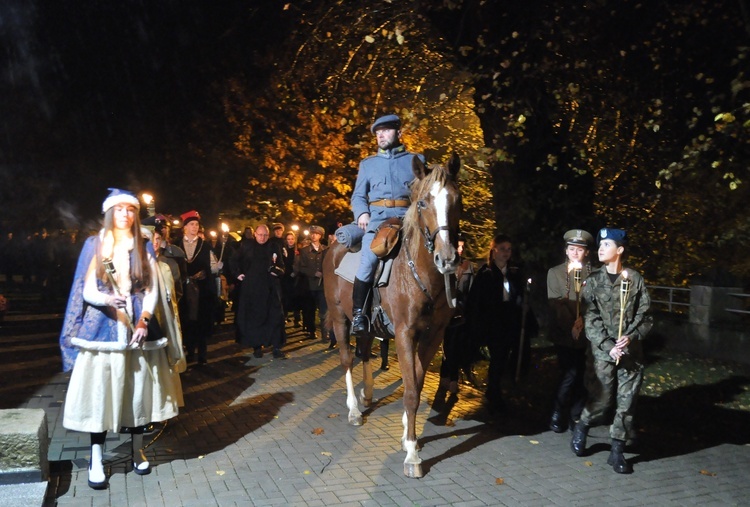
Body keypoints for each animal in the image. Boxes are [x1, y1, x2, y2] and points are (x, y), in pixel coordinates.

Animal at [324, 153, 464, 478]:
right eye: (423, 202)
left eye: (457, 200)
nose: (447, 258)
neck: (419, 275)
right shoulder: (404, 333)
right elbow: (411, 390)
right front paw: (412, 453)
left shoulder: (432, 336)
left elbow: (418, 380)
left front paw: (405, 432)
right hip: (340, 319)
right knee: (347, 359)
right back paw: (353, 408)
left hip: (363, 324)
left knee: (363, 352)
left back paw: (367, 394)